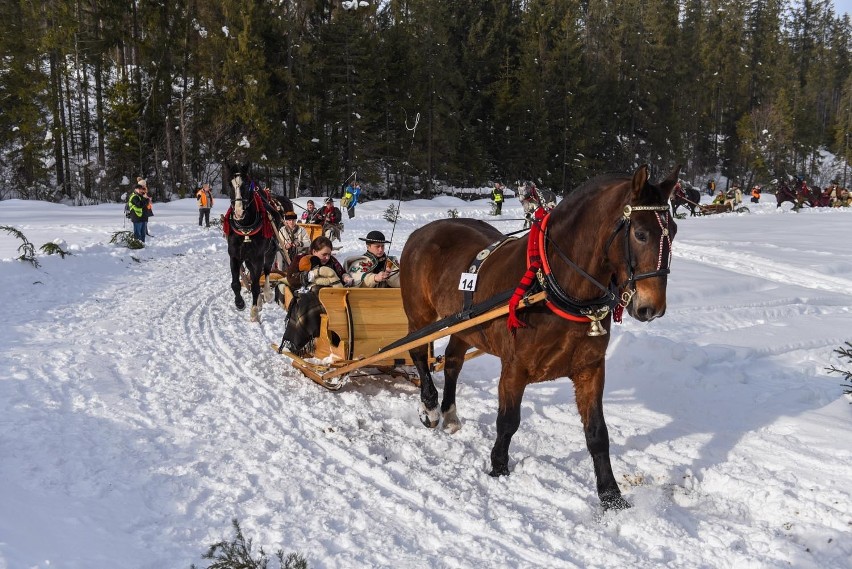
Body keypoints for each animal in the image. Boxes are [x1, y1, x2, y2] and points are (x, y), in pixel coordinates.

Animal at [223, 164, 292, 322]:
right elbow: (236, 283)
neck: (245, 229)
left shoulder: (258, 257)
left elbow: (255, 284)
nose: (238, 212)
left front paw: (254, 311)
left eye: (247, 184)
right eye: (230, 184)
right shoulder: (234, 256)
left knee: (265, 271)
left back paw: (265, 294)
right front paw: (240, 303)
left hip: (270, 251)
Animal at [400, 164, 680, 510]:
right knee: (417, 353)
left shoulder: (590, 369)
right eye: (640, 233)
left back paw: (450, 412)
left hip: (464, 324)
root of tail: (422, 231)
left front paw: (611, 495)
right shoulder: (514, 367)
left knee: (452, 361)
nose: (652, 308)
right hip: (420, 314)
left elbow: (597, 433)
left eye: (674, 230)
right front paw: (498, 469)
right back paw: (430, 406)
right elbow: (508, 421)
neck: (552, 284)